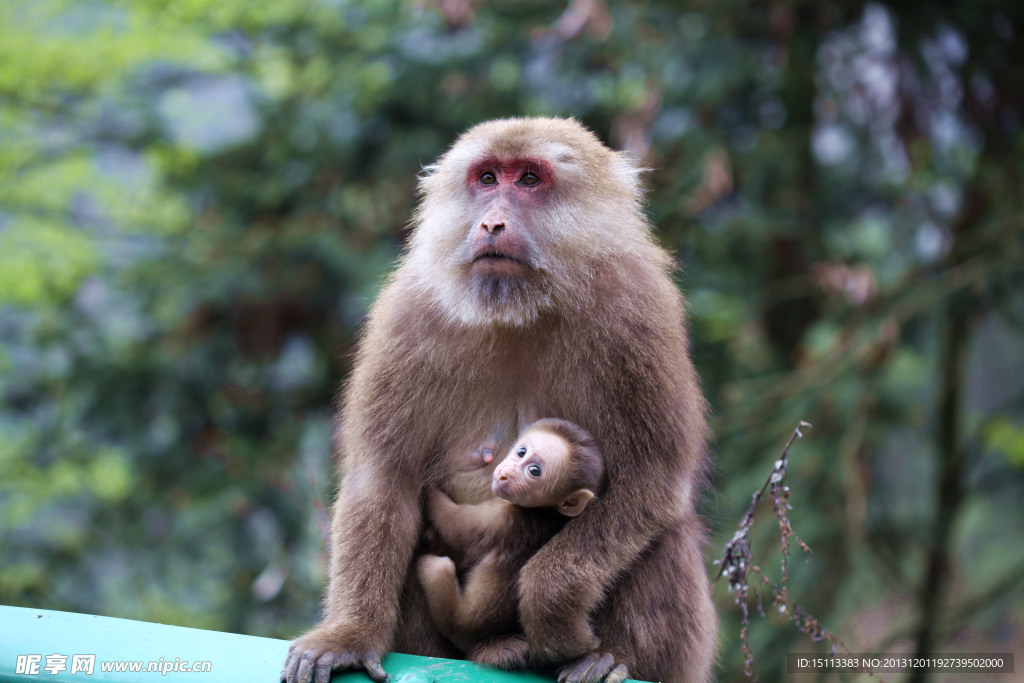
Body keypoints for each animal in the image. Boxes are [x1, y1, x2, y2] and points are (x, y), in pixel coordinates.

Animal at [417, 419, 602, 663]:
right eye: (521, 452)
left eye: (534, 471)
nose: (506, 473)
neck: (543, 511)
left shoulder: (502, 515)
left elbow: (454, 524)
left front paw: (429, 492)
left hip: (457, 622)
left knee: (439, 568)